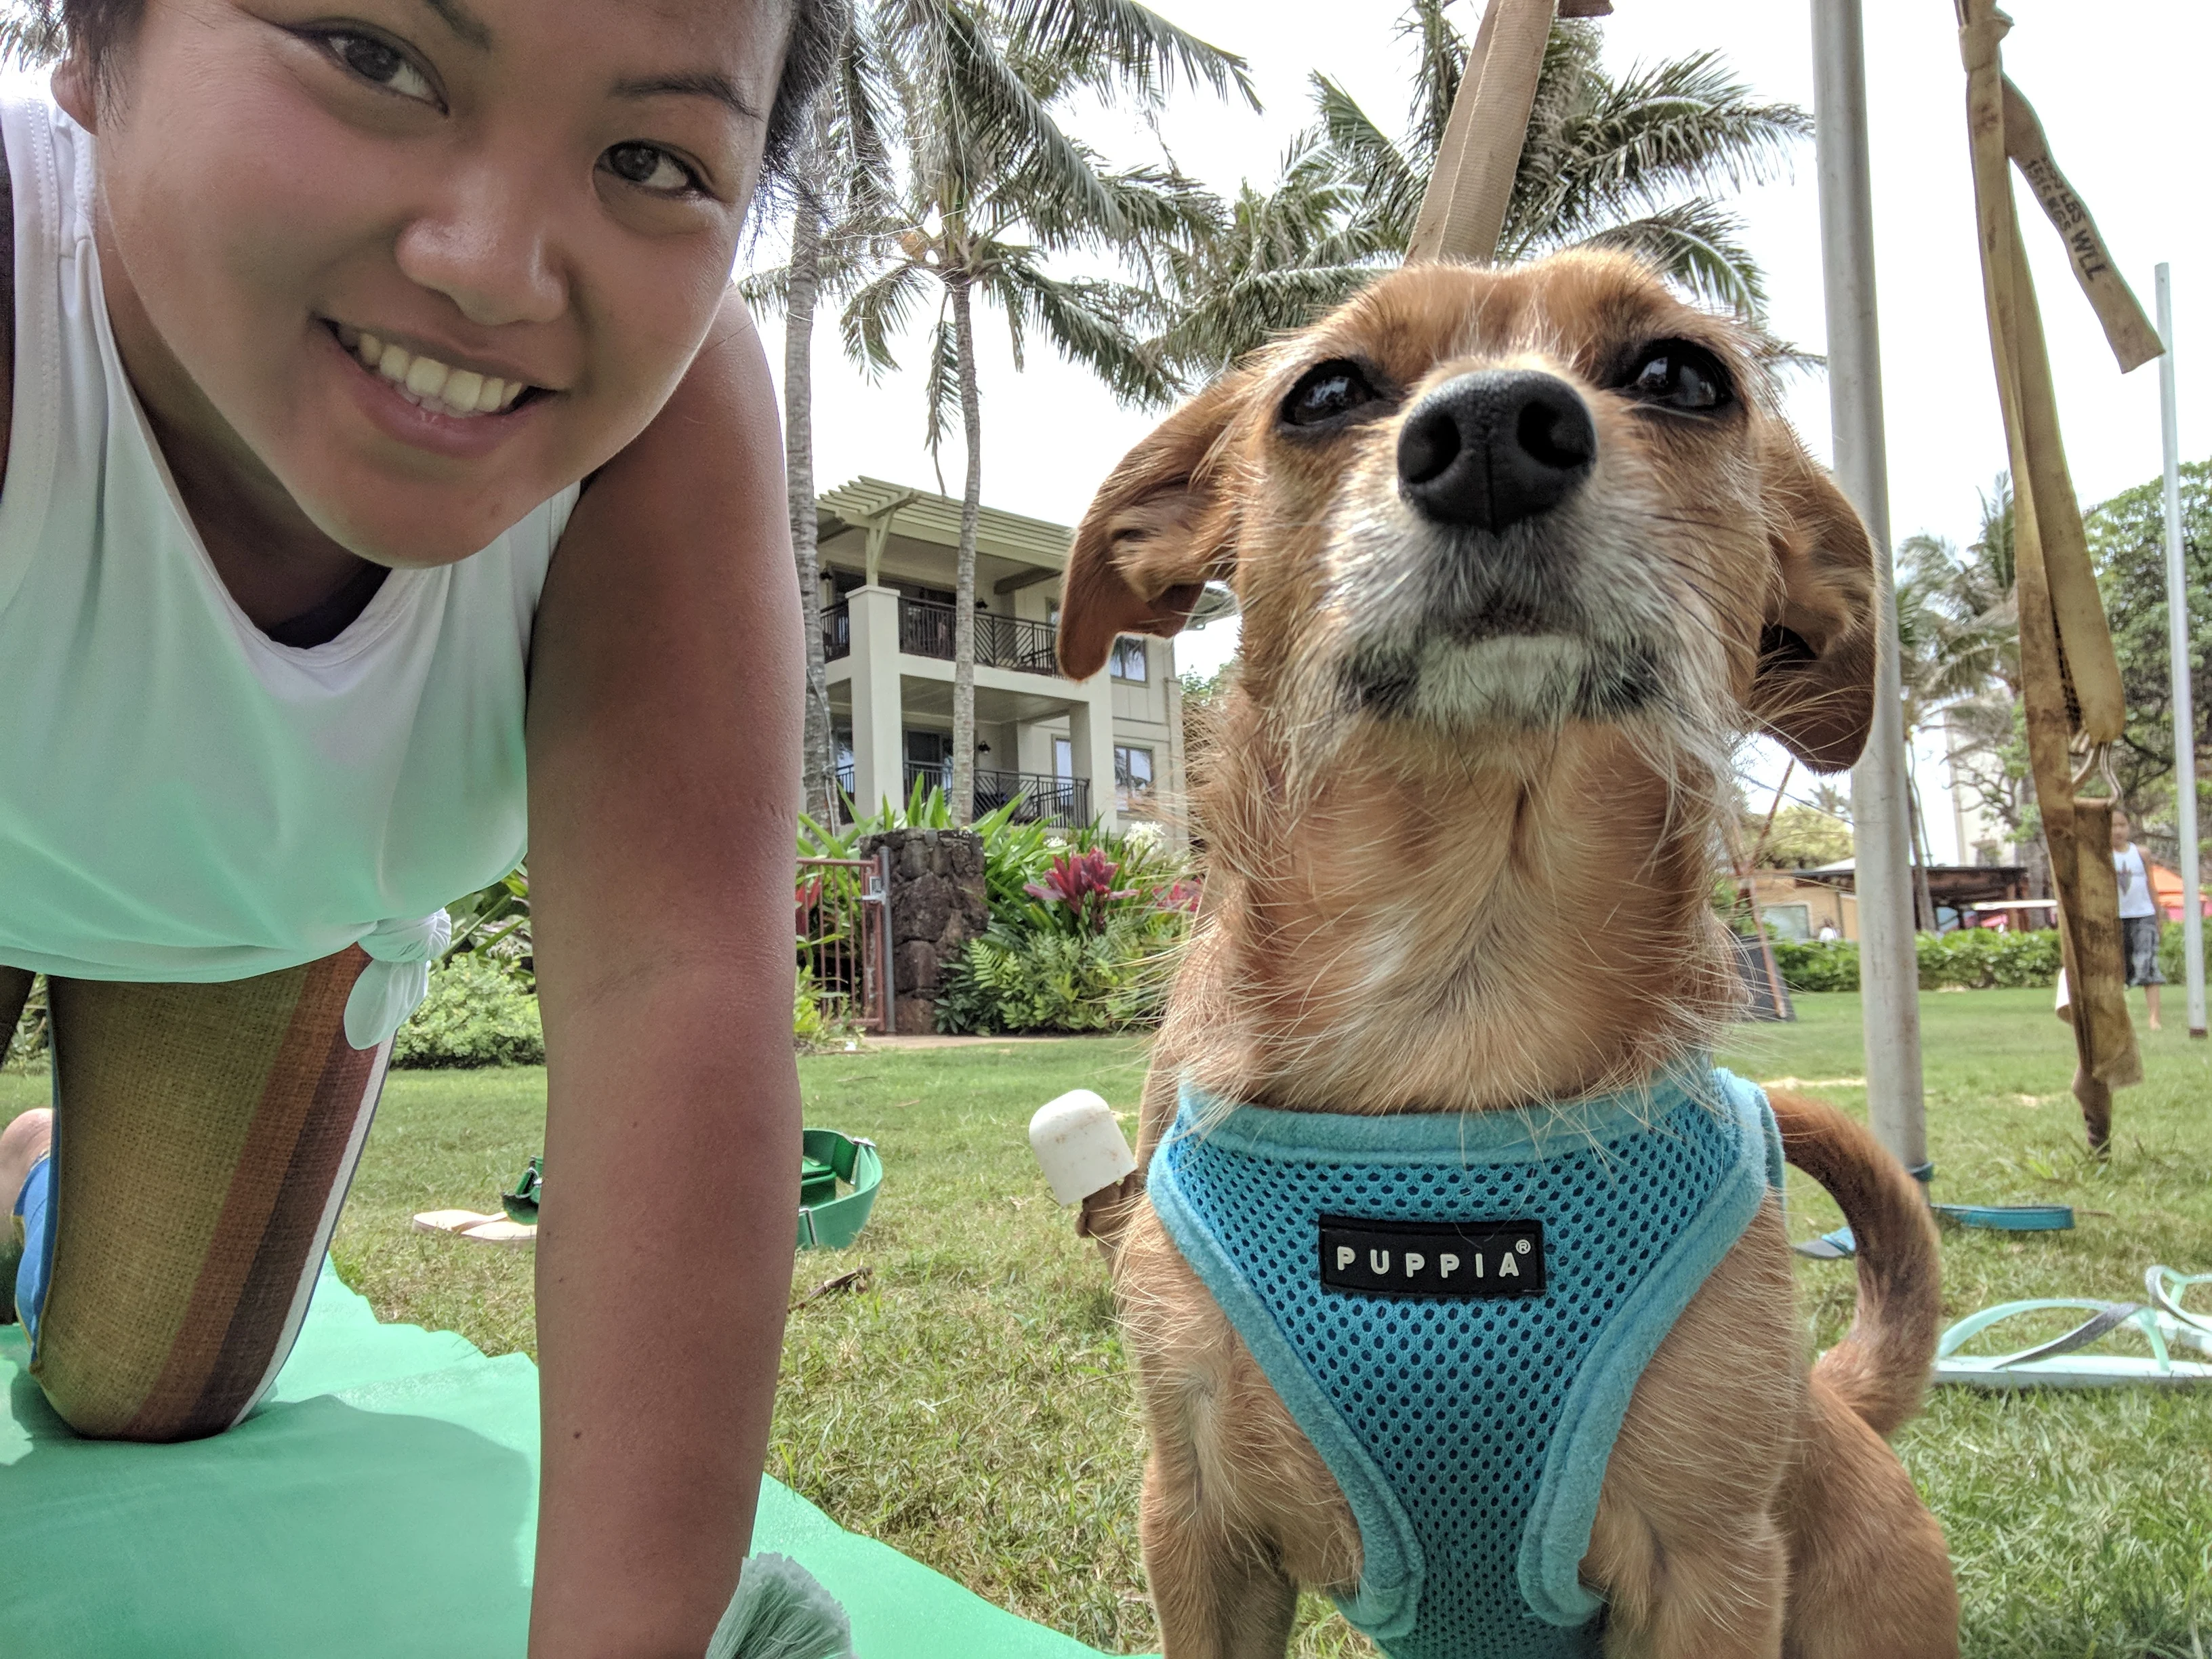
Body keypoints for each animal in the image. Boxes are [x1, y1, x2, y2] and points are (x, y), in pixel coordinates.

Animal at [1052, 246, 1955, 1659]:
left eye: (1679, 374)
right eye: (1323, 392)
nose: (1487, 432)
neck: (1454, 999)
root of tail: (1837, 1408)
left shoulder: (1709, 1569)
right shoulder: (1195, 1529)